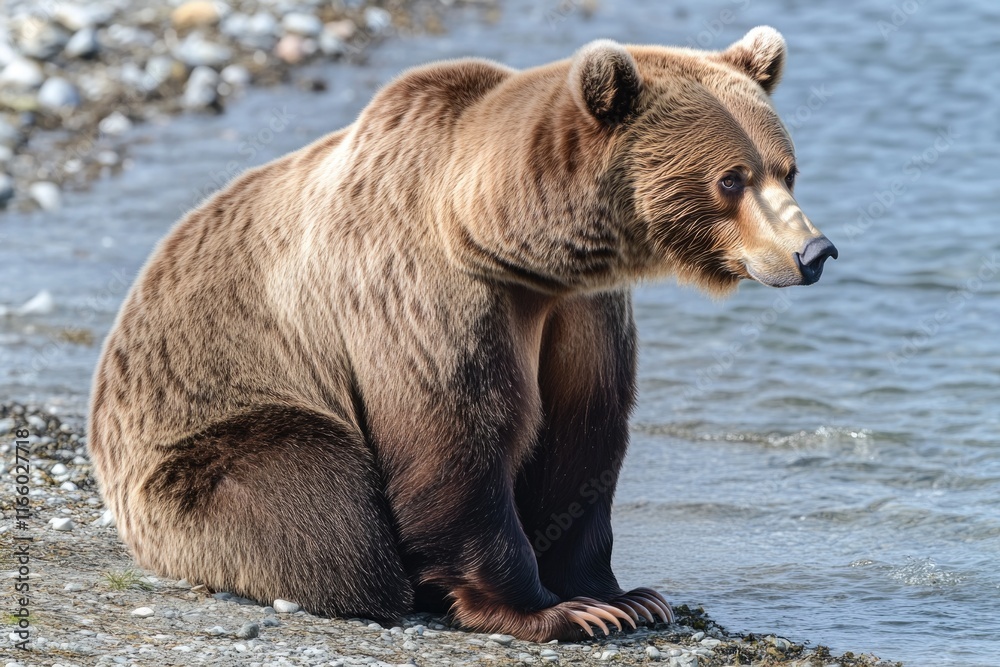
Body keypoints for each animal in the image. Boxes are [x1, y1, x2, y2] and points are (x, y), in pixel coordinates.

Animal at [88, 26, 837, 642]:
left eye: (788, 169)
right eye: (731, 179)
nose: (814, 252)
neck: (510, 245)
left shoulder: (583, 314)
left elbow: (584, 435)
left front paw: (625, 597)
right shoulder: (424, 292)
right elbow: (457, 434)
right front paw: (552, 609)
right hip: (196, 435)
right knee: (318, 501)